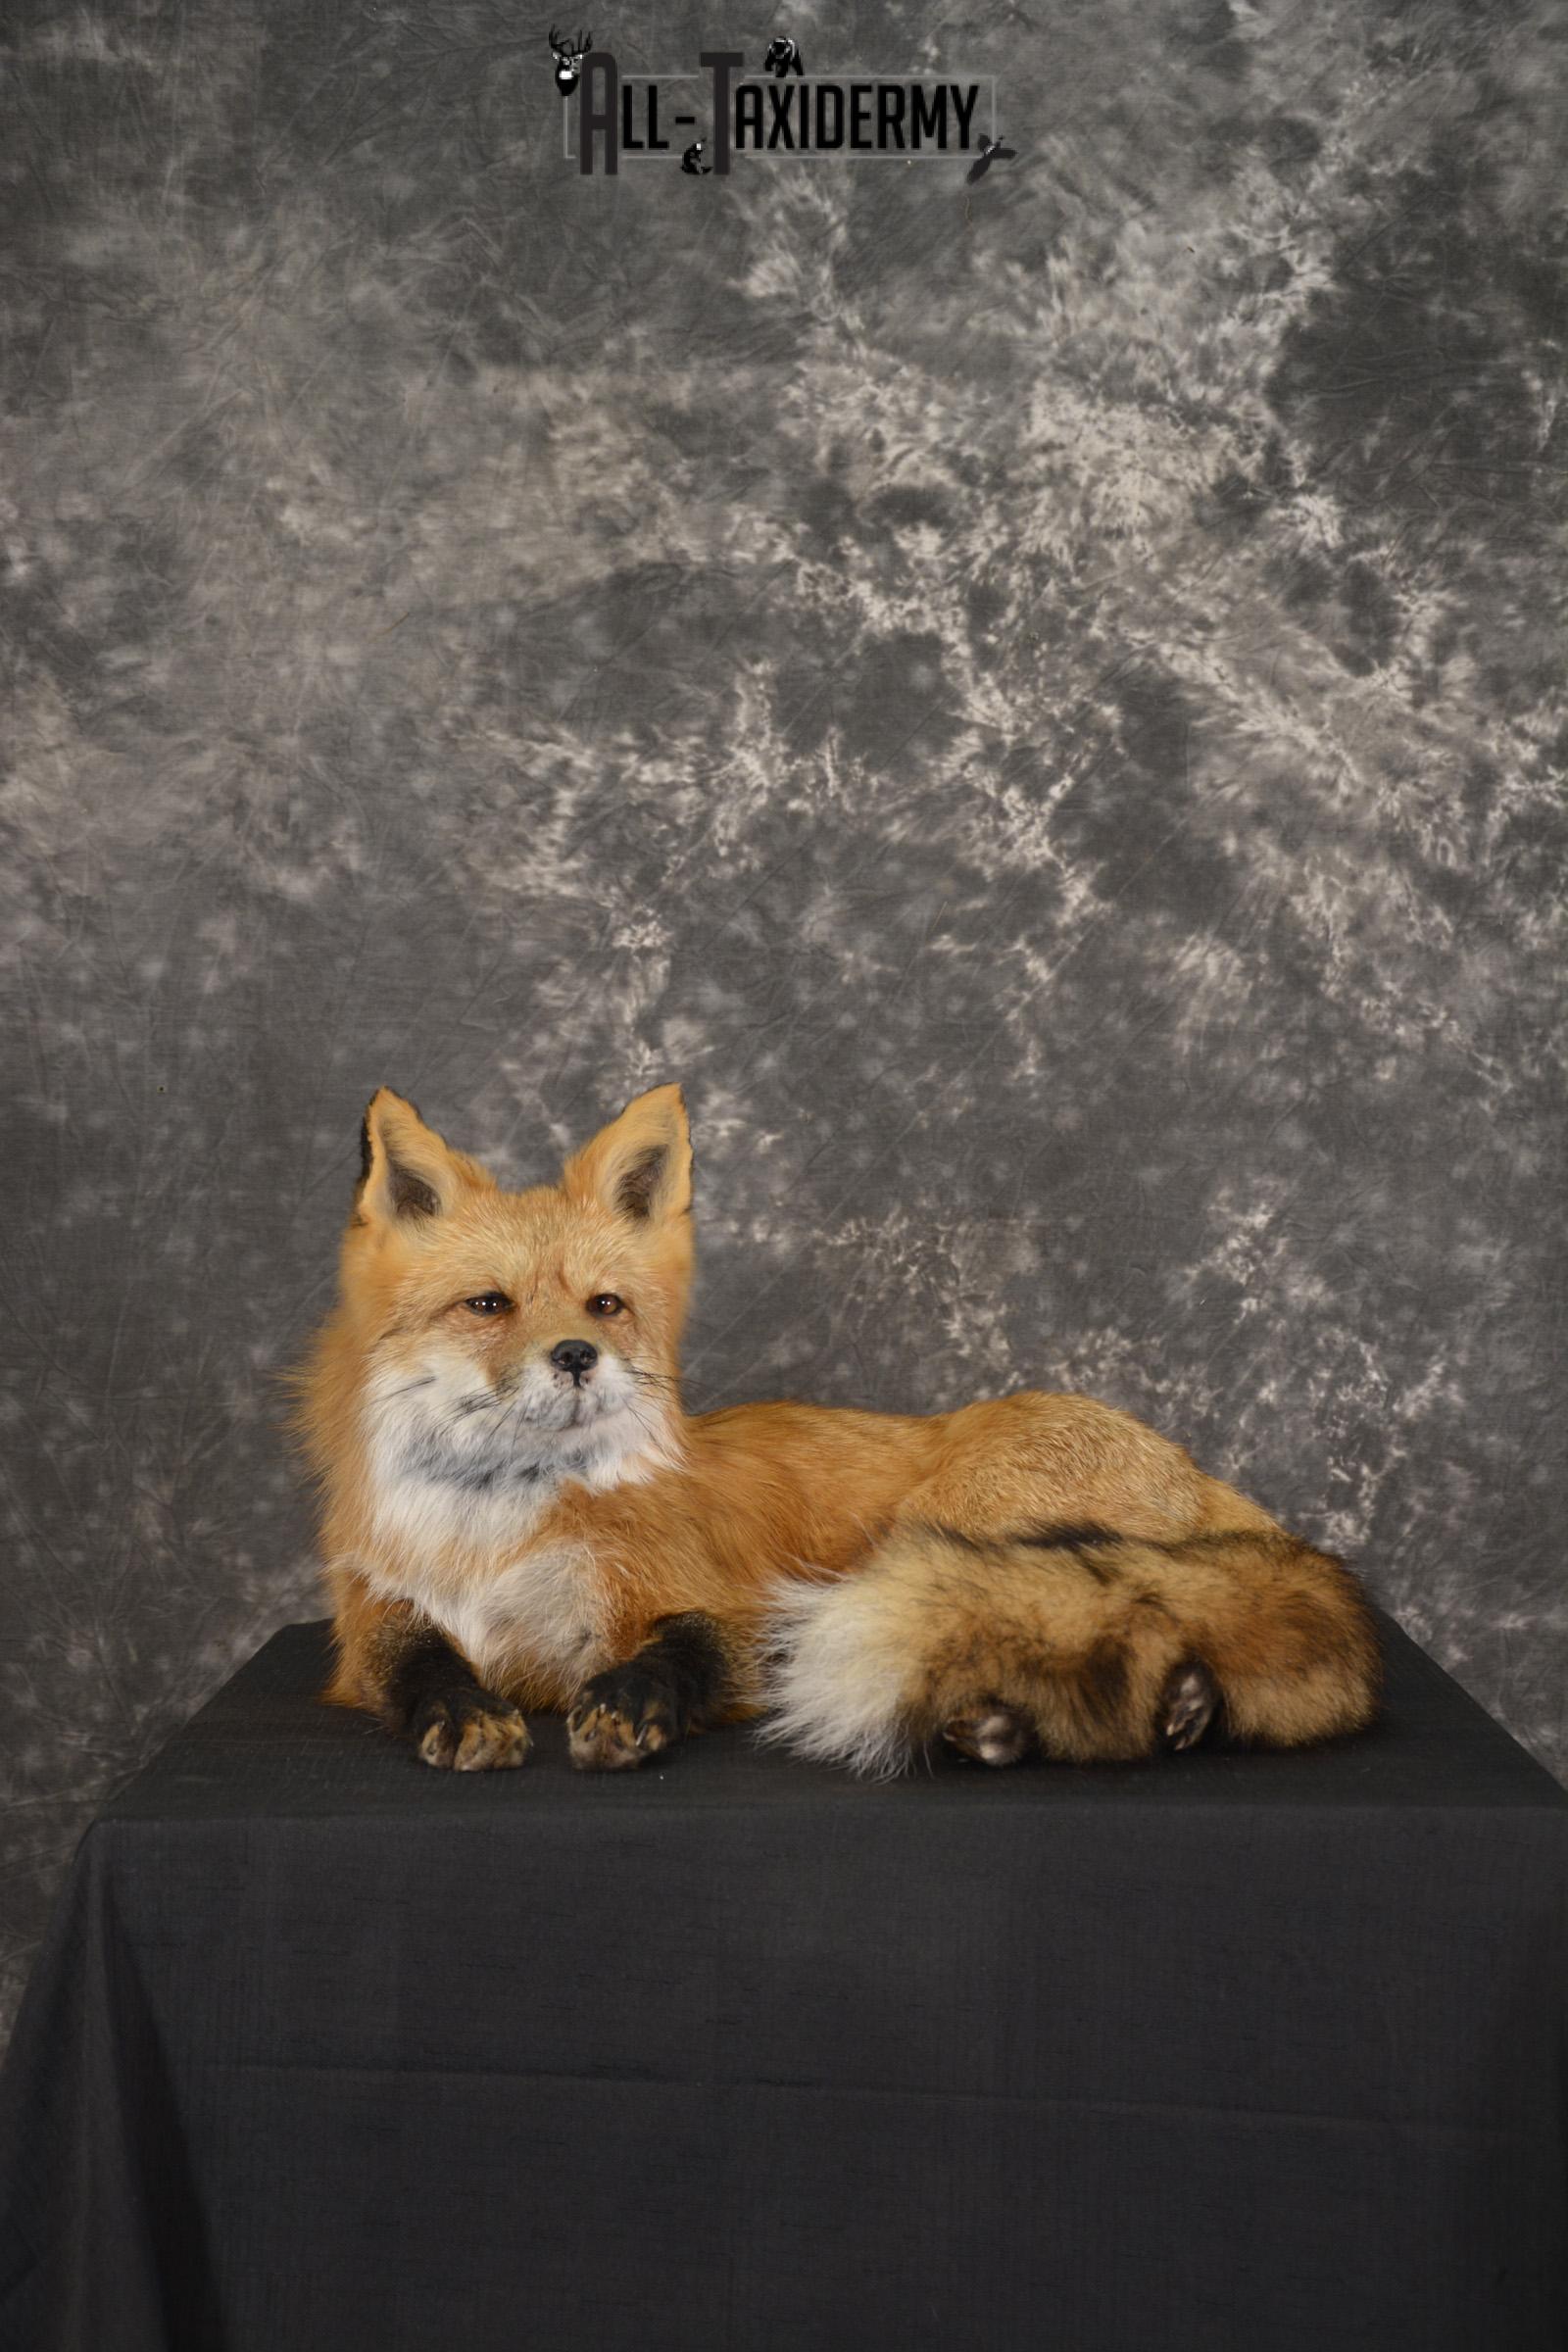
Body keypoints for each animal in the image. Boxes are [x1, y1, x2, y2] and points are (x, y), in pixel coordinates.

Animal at [294, 1083, 1382, 1776]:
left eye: (604, 1306)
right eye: (488, 1305)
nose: (575, 1357)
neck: (497, 1534)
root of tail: (1197, 1471)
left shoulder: (722, 1608)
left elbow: (676, 1653)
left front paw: (627, 1706)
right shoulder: (378, 1622)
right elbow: (420, 1669)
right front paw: (464, 1713)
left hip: (949, 1534)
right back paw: (1100, 1722)